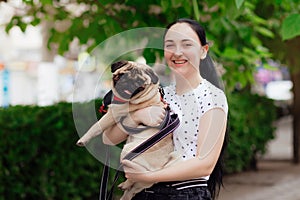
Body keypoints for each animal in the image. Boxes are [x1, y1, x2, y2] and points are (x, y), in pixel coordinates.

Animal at [76, 61, 179, 200]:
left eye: (140, 83)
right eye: (121, 75)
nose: (130, 83)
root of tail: (161, 169)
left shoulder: (112, 114)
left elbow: (96, 126)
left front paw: (83, 140)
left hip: (128, 152)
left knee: (135, 174)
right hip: (142, 183)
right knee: (132, 189)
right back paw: (125, 188)